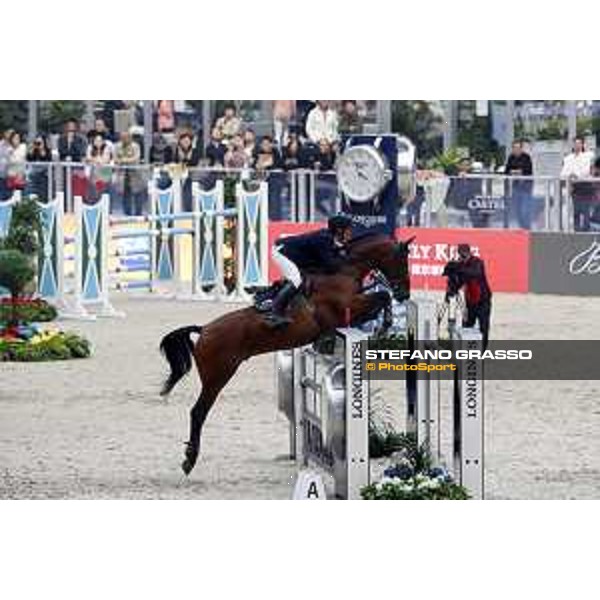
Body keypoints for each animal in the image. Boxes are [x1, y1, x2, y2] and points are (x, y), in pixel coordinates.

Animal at [159, 232, 412, 476]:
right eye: (402, 261)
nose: (404, 294)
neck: (344, 271)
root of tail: (204, 330)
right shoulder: (348, 309)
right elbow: (381, 297)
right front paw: (385, 325)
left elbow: (380, 298)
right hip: (217, 376)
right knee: (198, 412)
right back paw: (190, 460)